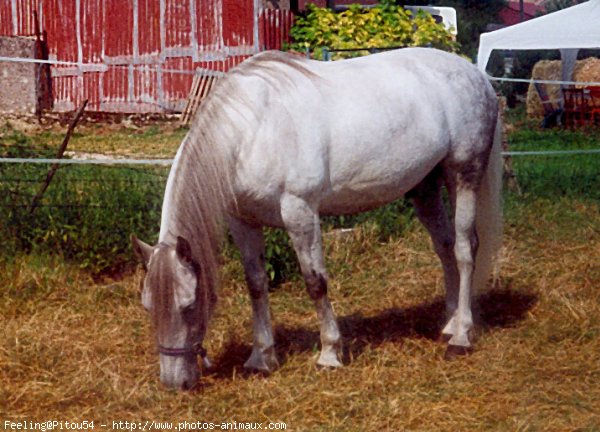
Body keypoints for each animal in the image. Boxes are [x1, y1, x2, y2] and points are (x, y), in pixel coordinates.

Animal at [130, 48, 502, 392]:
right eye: (147, 307)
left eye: (189, 305)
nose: (174, 383)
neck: (252, 132)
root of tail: (475, 74)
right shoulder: (243, 220)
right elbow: (256, 284)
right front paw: (261, 358)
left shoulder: (300, 212)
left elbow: (315, 282)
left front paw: (329, 354)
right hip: (425, 186)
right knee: (445, 246)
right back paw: (449, 324)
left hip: (463, 174)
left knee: (465, 249)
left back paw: (461, 337)